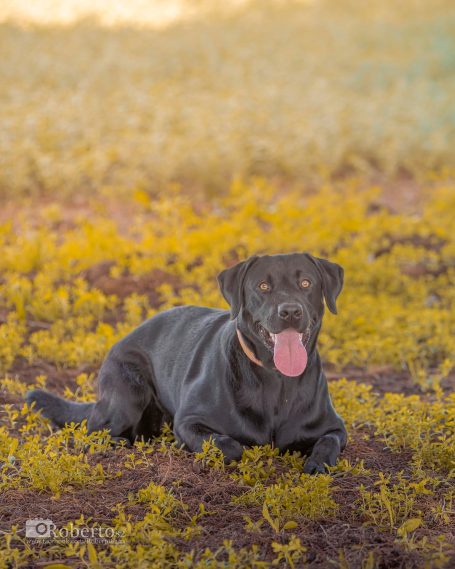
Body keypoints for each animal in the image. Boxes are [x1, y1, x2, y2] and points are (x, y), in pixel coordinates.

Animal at [26, 253, 347, 474]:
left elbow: (328, 443)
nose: (290, 311)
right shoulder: (189, 421)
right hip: (127, 396)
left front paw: (318, 463)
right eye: (264, 285)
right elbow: (230, 446)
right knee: (94, 430)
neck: (275, 380)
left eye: (306, 283)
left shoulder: (335, 428)